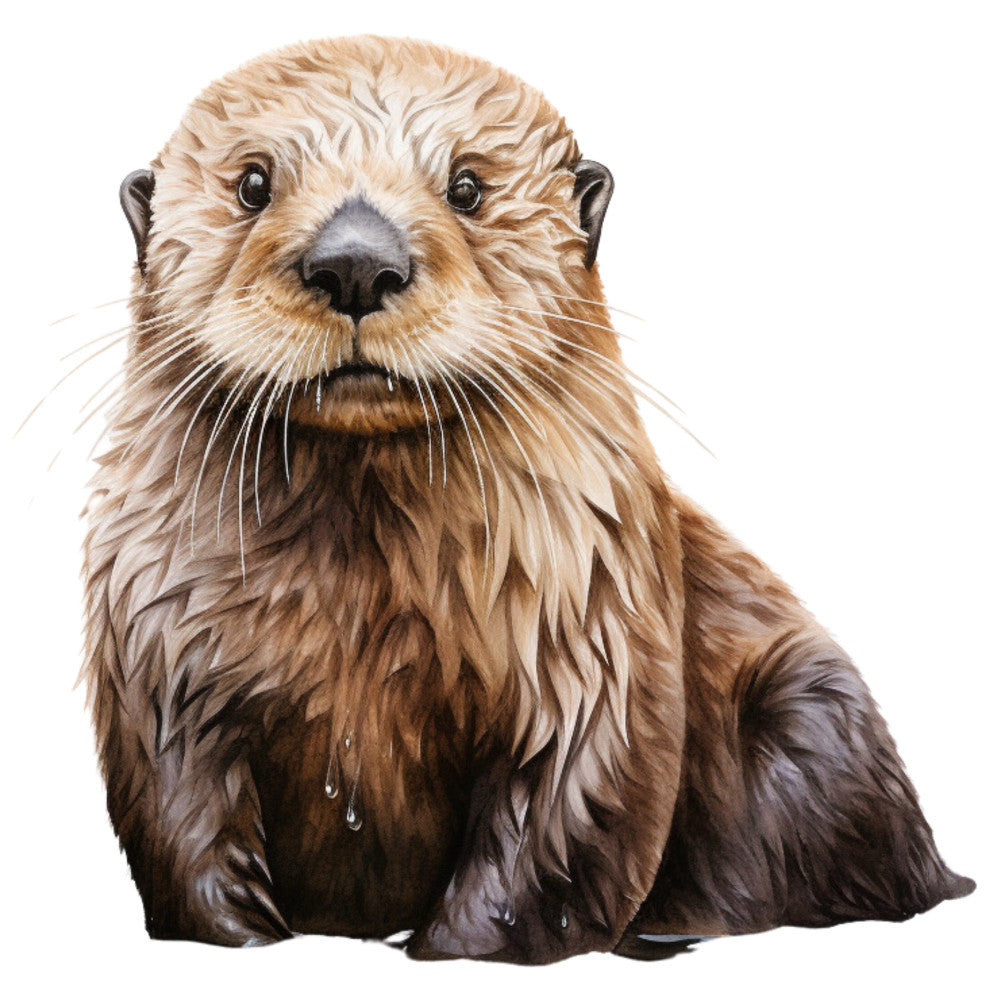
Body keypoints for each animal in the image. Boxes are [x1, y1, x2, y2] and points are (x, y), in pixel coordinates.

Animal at [83, 35, 973, 963]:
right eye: (253, 184)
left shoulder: (589, 639)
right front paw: (246, 941)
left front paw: (461, 951)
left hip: (809, 710)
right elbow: (180, 816)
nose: (356, 262)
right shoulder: (158, 647)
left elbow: (552, 828)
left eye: (468, 187)